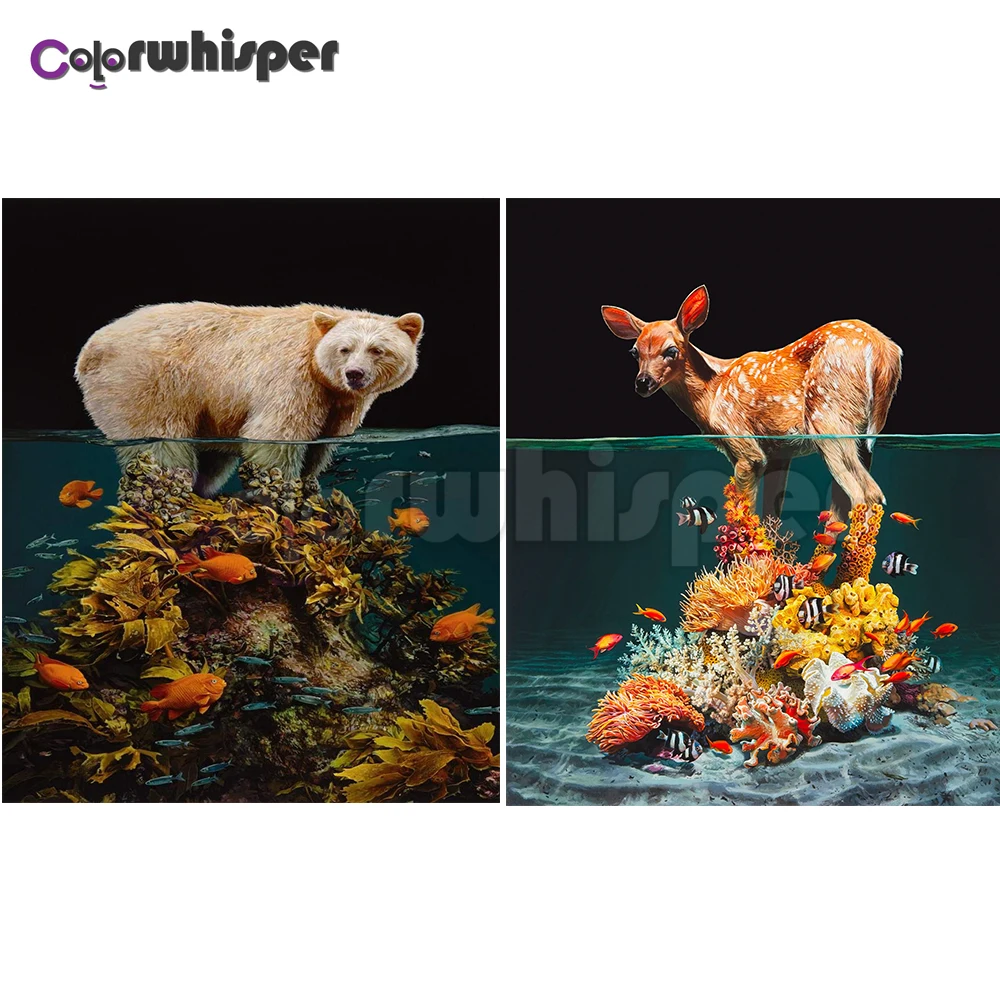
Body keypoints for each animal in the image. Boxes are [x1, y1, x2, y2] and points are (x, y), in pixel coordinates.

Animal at [75, 301, 424, 495]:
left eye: (377, 350)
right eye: (345, 348)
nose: (354, 374)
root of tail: (89, 350)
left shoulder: (340, 403)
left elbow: (321, 442)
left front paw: (309, 484)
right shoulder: (293, 377)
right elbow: (276, 435)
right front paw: (279, 489)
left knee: (211, 461)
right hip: (146, 382)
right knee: (161, 444)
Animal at [601, 286, 903, 521]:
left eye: (671, 350)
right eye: (634, 352)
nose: (642, 382)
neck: (711, 394)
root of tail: (885, 349)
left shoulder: (743, 443)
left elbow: (745, 511)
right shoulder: (780, 452)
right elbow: (772, 516)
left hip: (827, 418)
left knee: (866, 494)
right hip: (863, 434)